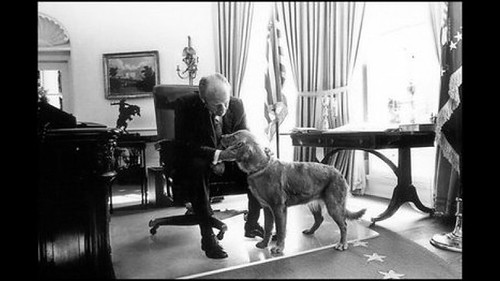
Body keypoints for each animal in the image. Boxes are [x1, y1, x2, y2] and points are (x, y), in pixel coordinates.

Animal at [221, 129, 366, 254]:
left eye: (234, 136)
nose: (221, 136)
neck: (260, 167)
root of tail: (339, 172)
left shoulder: (278, 208)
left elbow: (280, 230)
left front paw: (278, 248)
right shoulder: (267, 208)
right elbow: (268, 228)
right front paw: (264, 244)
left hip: (333, 206)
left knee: (344, 225)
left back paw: (342, 244)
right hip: (313, 203)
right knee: (319, 219)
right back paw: (310, 231)